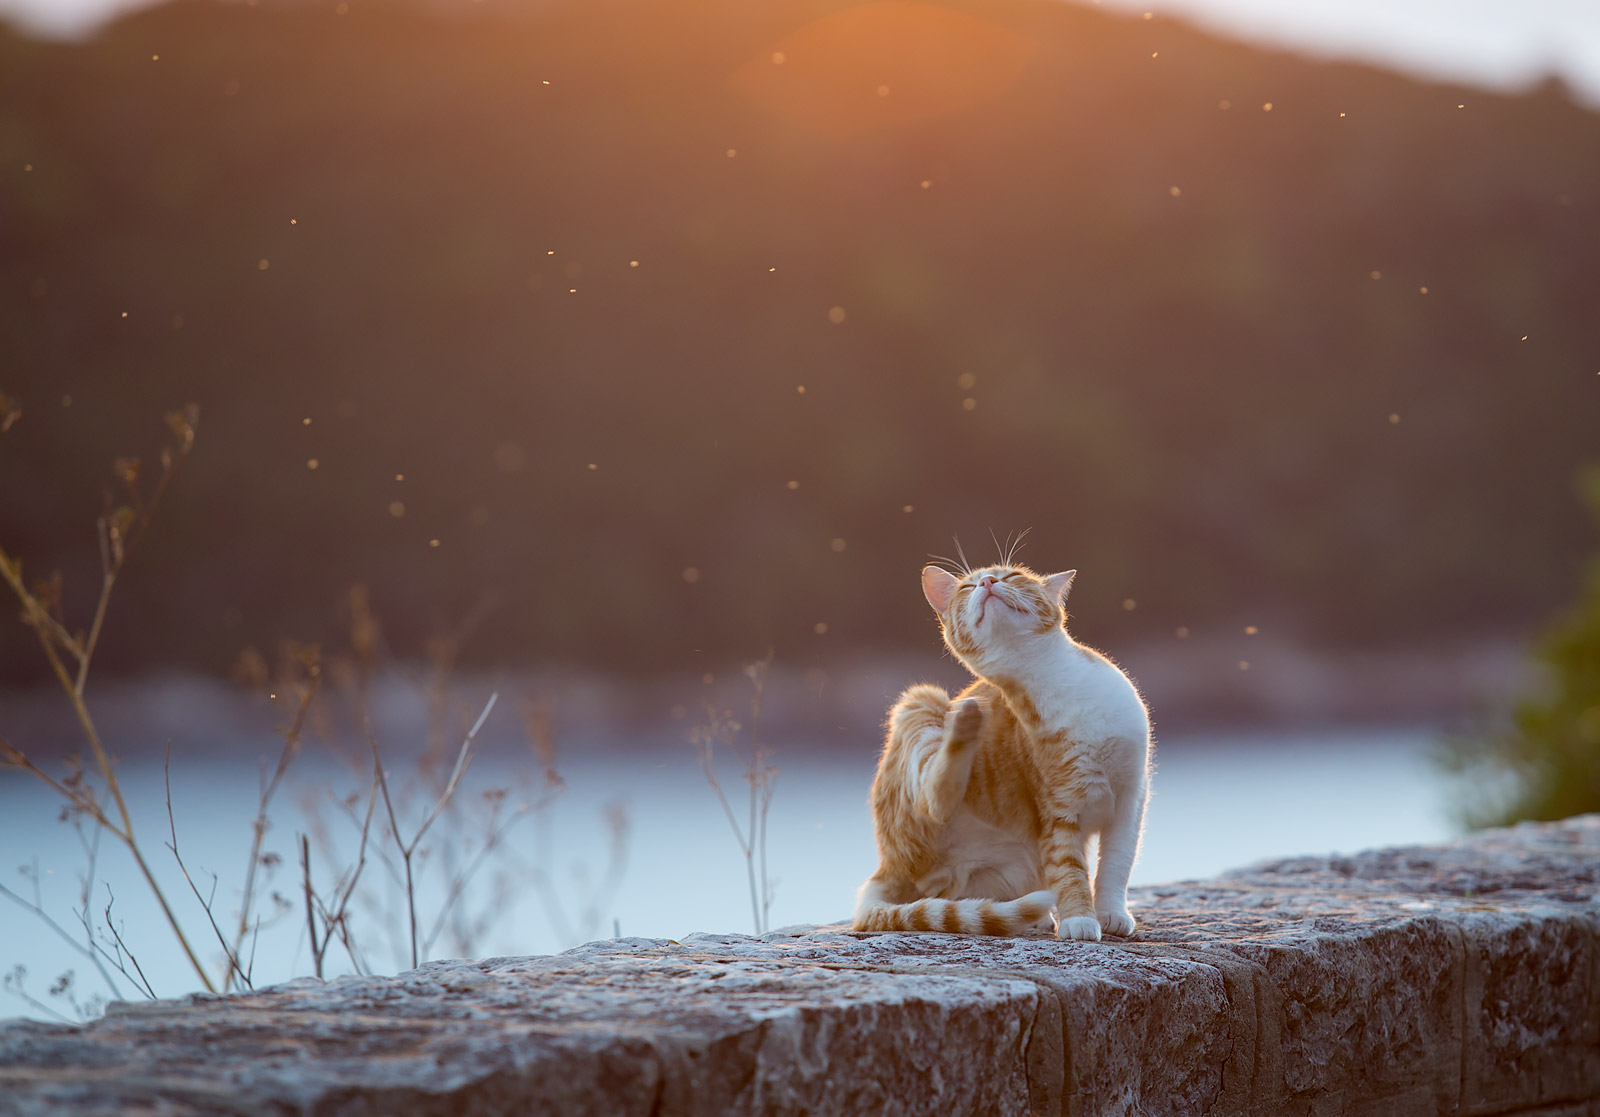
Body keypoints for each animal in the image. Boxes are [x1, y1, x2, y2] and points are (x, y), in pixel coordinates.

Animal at [857, 560, 1145, 934]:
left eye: (1012, 576)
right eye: (967, 587)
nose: (987, 582)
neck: (1052, 678)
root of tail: (887, 866)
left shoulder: (1131, 796)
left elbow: (1116, 863)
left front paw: (1111, 912)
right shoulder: (1057, 808)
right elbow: (1068, 869)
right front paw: (1079, 918)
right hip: (921, 700)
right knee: (934, 801)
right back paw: (965, 724)